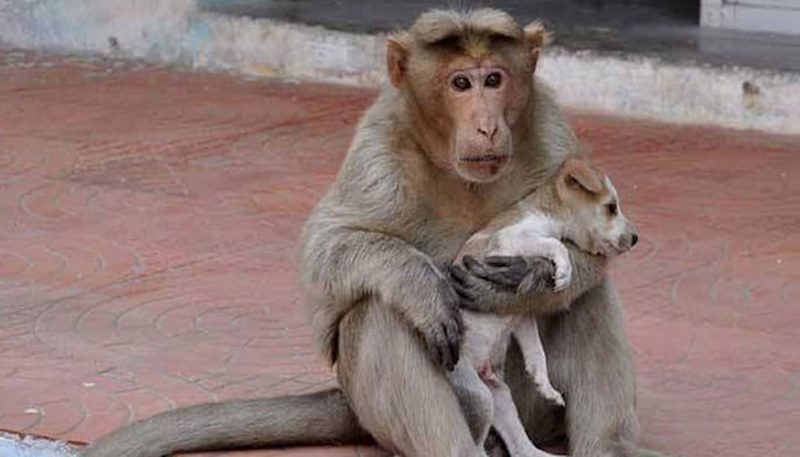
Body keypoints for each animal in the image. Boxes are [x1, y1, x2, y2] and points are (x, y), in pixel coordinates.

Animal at [450, 155, 636, 454]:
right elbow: (554, 244)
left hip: (500, 397)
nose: (635, 238)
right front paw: (563, 272)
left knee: (521, 448)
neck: (547, 213)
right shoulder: (511, 238)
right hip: (478, 396)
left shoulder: (520, 314)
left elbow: (536, 351)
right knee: (474, 445)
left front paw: (543, 383)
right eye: (611, 207)